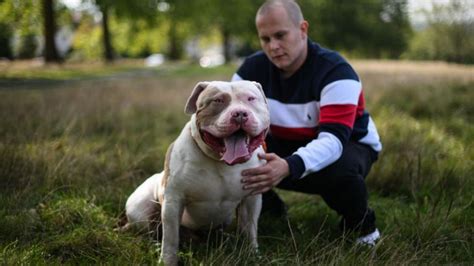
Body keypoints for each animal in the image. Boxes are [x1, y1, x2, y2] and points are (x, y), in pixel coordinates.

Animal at [120, 80, 270, 264]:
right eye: (218, 101)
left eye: (251, 99)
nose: (240, 113)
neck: (221, 161)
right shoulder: (173, 200)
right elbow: (170, 238)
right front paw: (167, 261)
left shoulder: (251, 198)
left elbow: (250, 230)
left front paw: (253, 254)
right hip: (141, 210)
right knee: (151, 230)